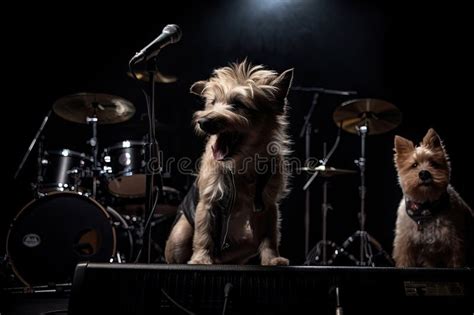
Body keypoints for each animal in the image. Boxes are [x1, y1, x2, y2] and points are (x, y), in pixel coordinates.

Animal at [165, 60, 294, 266]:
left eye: (238, 104)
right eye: (212, 102)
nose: (203, 121)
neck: (241, 162)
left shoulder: (267, 204)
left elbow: (269, 236)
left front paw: (272, 259)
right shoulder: (208, 202)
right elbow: (203, 235)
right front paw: (200, 258)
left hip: (247, 240)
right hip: (180, 234)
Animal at [392, 130, 474, 268]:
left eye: (433, 163)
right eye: (414, 165)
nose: (424, 173)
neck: (425, 208)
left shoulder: (456, 242)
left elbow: (456, 262)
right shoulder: (404, 243)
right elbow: (404, 261)